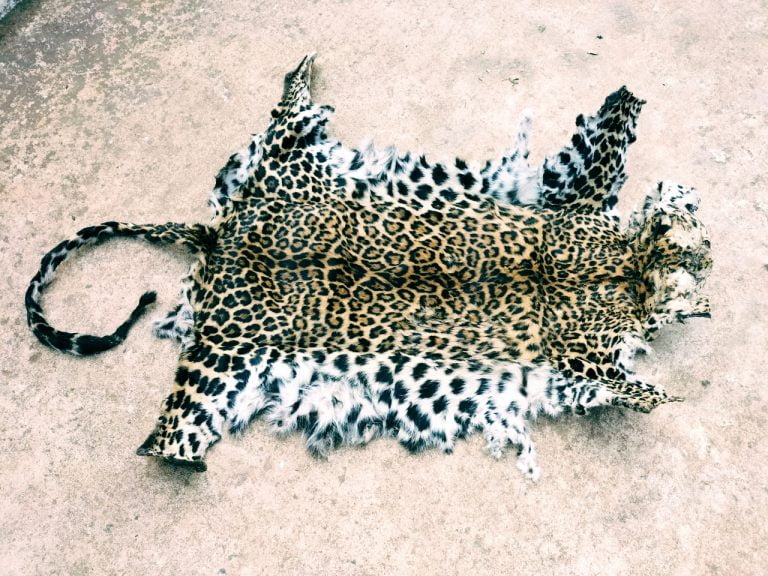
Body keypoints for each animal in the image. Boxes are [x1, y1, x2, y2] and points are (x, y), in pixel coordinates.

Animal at [25, 53, 711, 480]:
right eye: (702, 248)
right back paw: (176, 456)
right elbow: (625, 382)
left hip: (284, 174)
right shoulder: (580, 338)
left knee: (282, 129)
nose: (710, 270)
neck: (630, 271)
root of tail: (221, 236)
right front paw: (662, 392)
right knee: (168, 430)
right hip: (222, 359)